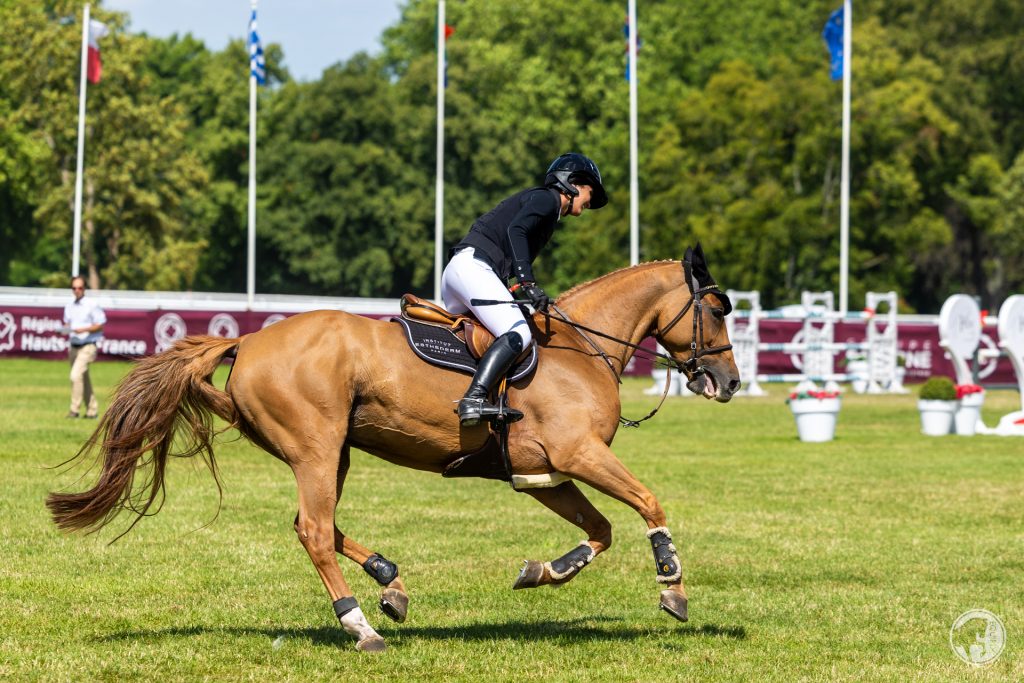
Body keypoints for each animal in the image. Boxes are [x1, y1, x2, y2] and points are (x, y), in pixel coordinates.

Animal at [48, 249, 741, 651]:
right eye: (716, 309)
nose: (729, 382)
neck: (580, 348)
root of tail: (247, 343)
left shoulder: (546, 472)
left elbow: (600, 531)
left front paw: (544, 571)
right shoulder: (579, 454)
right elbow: (648, 503)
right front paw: (672, 586)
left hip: (334, 452)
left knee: (313, 524)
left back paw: (390, 582)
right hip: (317, 448)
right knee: (314, 530)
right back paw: (362, 625)